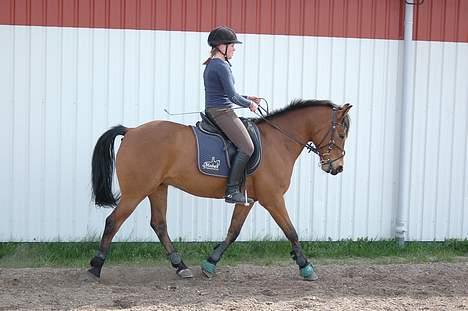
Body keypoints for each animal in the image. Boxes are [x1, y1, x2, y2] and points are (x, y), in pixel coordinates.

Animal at [88, 100, 352, 282]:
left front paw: (210, 264)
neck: (278, 141)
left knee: (159, 224)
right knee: (113, 221)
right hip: (136, 191)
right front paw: (306, 267)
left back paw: (181, 266)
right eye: (341, 134)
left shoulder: (248, 200)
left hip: (158, 188)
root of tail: (131, 131)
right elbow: (291, 231)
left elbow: (233, 231)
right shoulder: (273, 199)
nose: (336, 167)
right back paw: (95, 267)